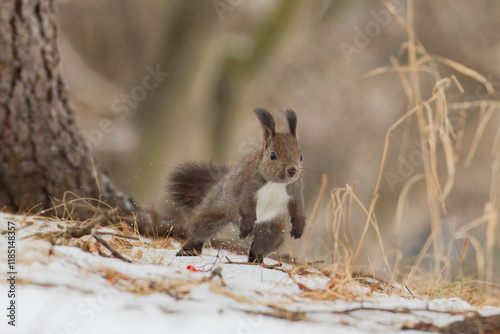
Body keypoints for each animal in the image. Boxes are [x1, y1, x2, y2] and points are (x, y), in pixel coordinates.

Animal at [170, 108, 306, 262]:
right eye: (273, 155)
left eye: (301, 157)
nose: (292, 170)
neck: (275, 183)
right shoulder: (246, 185)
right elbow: (246, 203)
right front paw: (247, 226)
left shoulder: (295, 188)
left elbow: (298, 205)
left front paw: (299, 227)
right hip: (216, 210)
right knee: (201, 230)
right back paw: (188, 250)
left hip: (271, 226)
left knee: (263, 243)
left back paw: (256, 260)